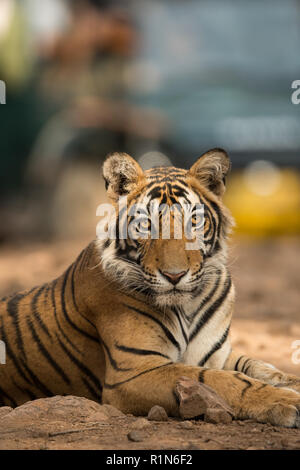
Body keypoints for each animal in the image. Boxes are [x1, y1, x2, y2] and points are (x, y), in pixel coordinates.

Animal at [0, 149, 300, 428]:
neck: (188, 305)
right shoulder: (132, 373)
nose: (174, 275)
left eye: (194, 221)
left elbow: (262, 368)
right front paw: (284, 401)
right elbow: (225, 380)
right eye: (146, 224)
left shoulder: (215, 352)